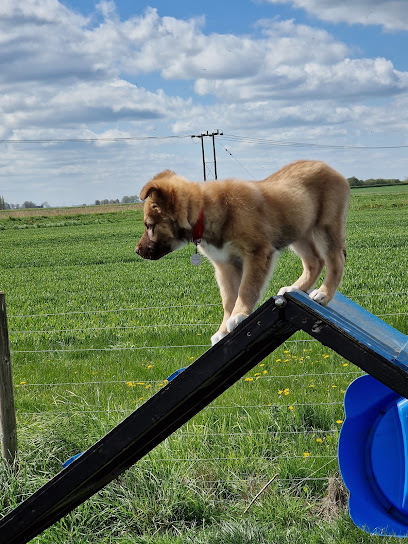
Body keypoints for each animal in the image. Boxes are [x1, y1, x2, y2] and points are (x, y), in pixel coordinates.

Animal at [135, 159, 350, 344]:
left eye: (149, 225)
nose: (137, 251)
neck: (206, 210)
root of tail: (328, 167)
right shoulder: (225, 265)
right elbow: (228, 300)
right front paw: (223, 331)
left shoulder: (257, 253)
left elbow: (247, 289)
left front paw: (239, 315)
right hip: (299, 232)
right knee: (315, 261)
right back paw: (295, 288)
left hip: (326, 226)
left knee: (335, 260)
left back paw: (323, 294)